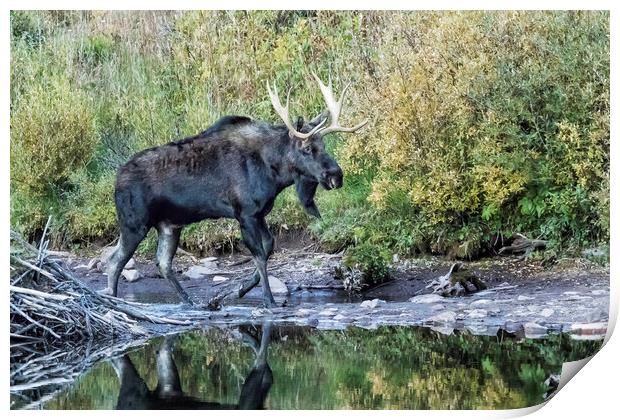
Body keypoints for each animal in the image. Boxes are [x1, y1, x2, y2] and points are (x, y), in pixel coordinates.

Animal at [99, 74, 366, 306]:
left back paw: (190, 302)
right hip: (134, 224)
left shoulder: (259, 214)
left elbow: (269, 246)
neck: (275, 172)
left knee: (162, 263)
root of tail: (117, 177)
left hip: (169, 226)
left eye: (324, 145)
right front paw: (268, 300)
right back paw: (114, 299)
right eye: (308, 148)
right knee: (114, 261)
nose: (336, 176)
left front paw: (237, 291)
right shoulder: (245, 213)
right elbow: (259, 255)